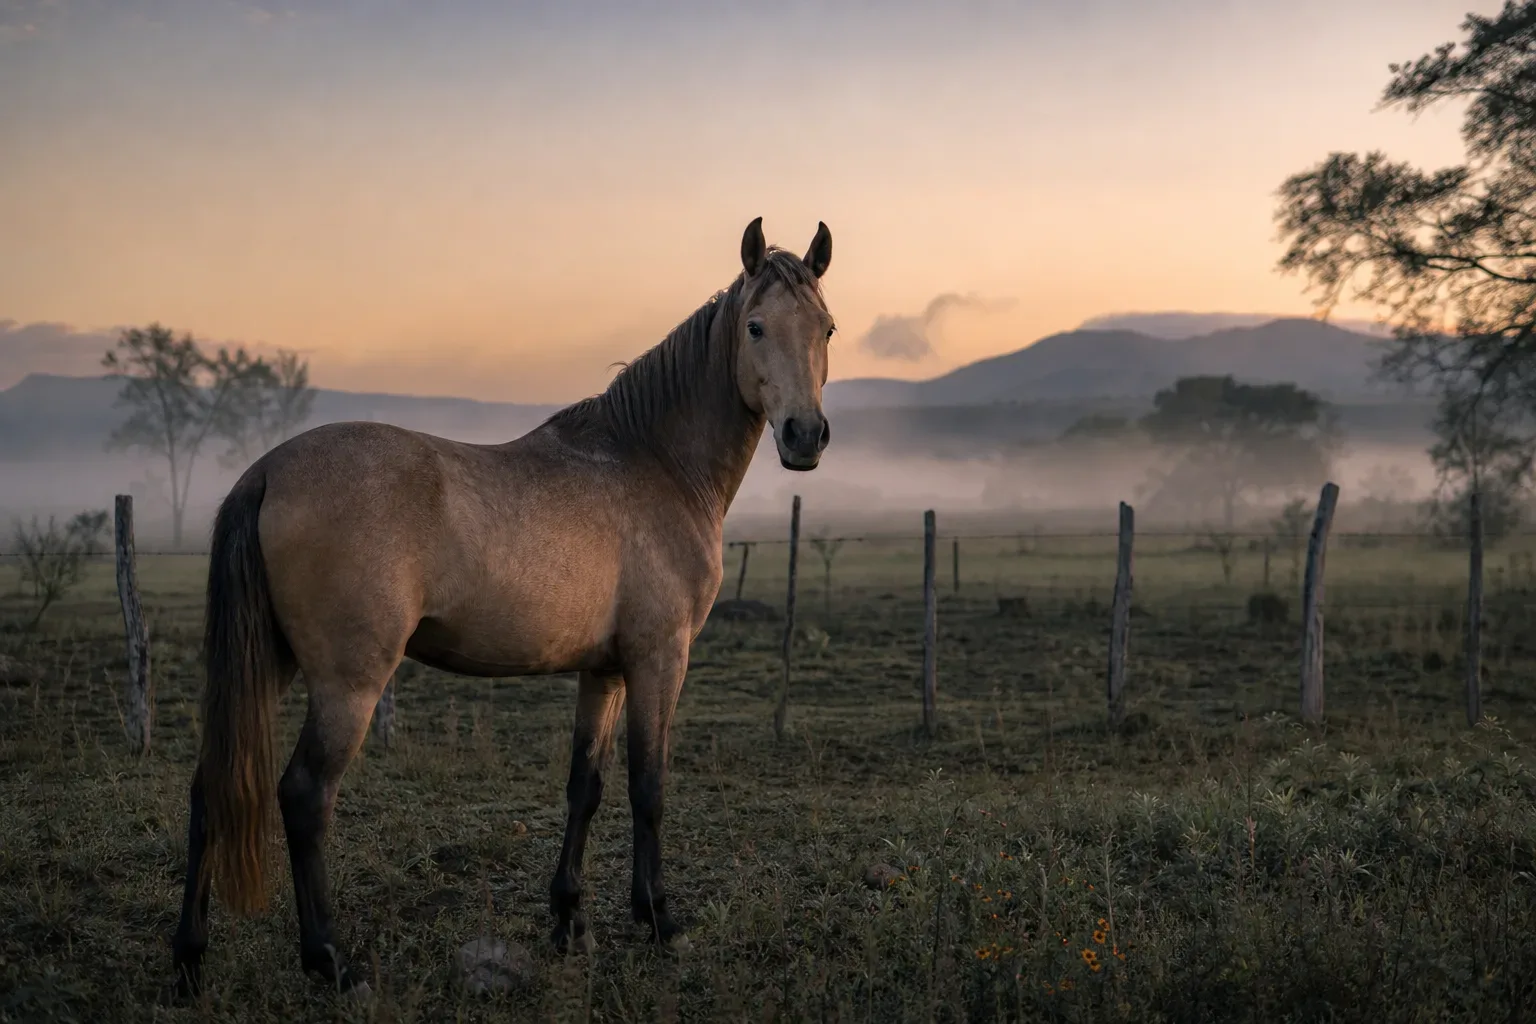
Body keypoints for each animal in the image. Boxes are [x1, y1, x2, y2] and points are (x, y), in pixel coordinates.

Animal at [170, 217, 837, 998]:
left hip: (271, 663)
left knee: (211, 788)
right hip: (347, 683)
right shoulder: (659, 660)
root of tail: (267, 471)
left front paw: (570, 922)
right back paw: (329, 960)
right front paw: (660, 920)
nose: (804, 437)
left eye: (826, 327)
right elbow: (649, 785)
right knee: (304, 798)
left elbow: (586, 785)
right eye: (756, 327)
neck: (655, 465)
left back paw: (189, 960)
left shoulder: (604, 672)